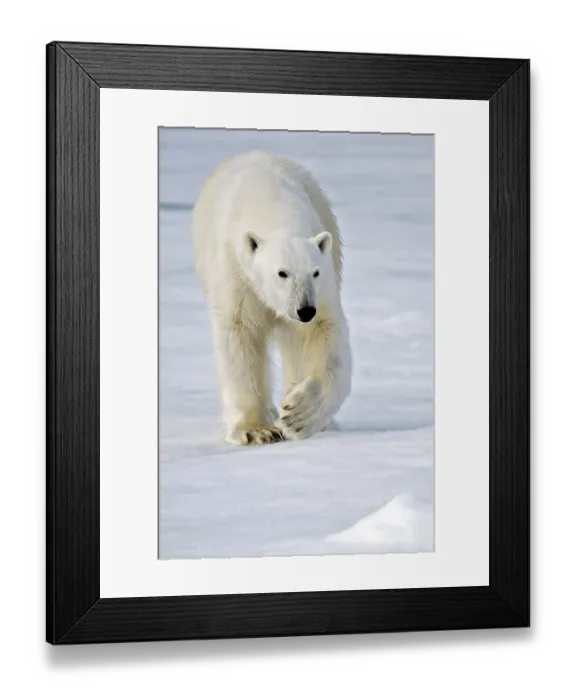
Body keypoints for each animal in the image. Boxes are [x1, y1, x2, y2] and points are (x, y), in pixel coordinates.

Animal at [192, 150, 352, 446]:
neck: (270, 204)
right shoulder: (236, 273)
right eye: (282, 273)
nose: (304, 310)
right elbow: (240, 334)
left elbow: (323, 333)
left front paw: (298, 415)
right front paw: (256, 430)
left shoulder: (323, 284)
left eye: (314, 272)